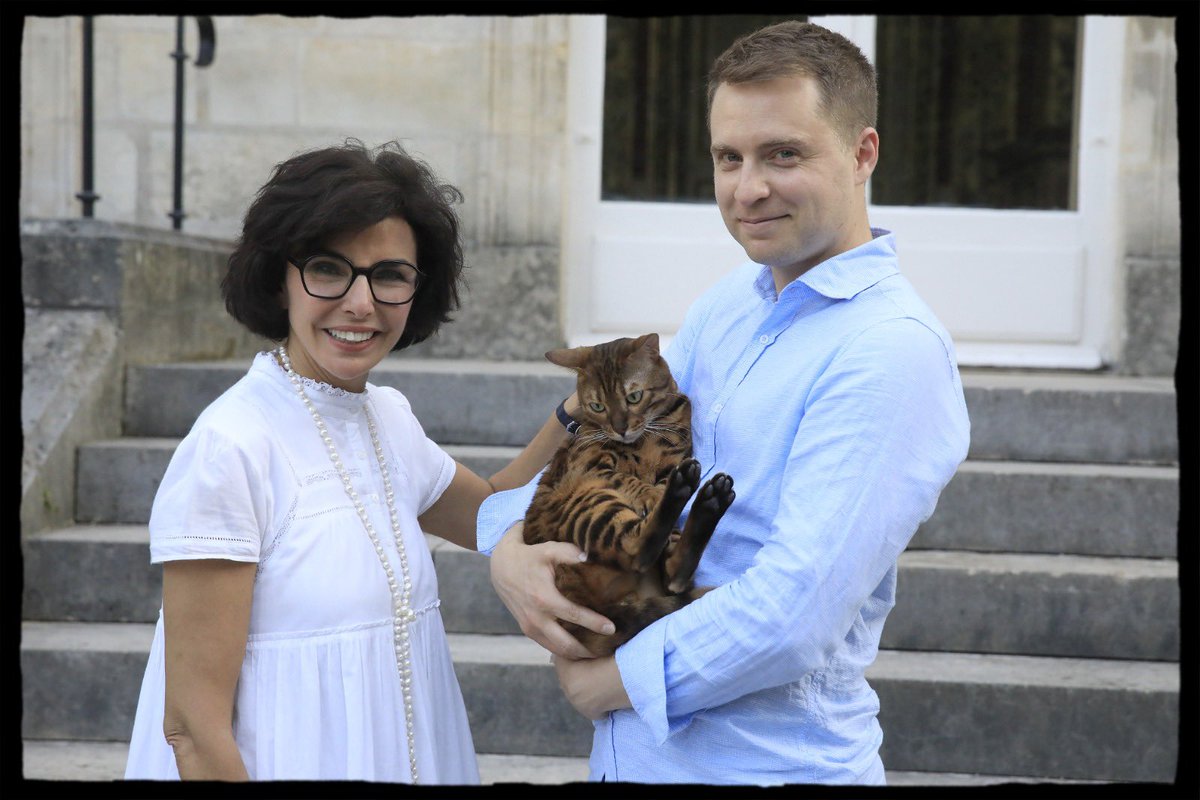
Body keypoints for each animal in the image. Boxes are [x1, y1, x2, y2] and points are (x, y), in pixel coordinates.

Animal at [523, 331, 729, 657]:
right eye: (597, 407)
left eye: (634, 397)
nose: (620, 429)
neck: (645, 439)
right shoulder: (590, 465)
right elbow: (625, 478)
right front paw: (649, 493)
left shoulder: (672, 460)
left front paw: (657, 489)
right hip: (590, 501)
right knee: (637, 551)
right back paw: (692, 494)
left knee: (673, 575)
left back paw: (708, 499)